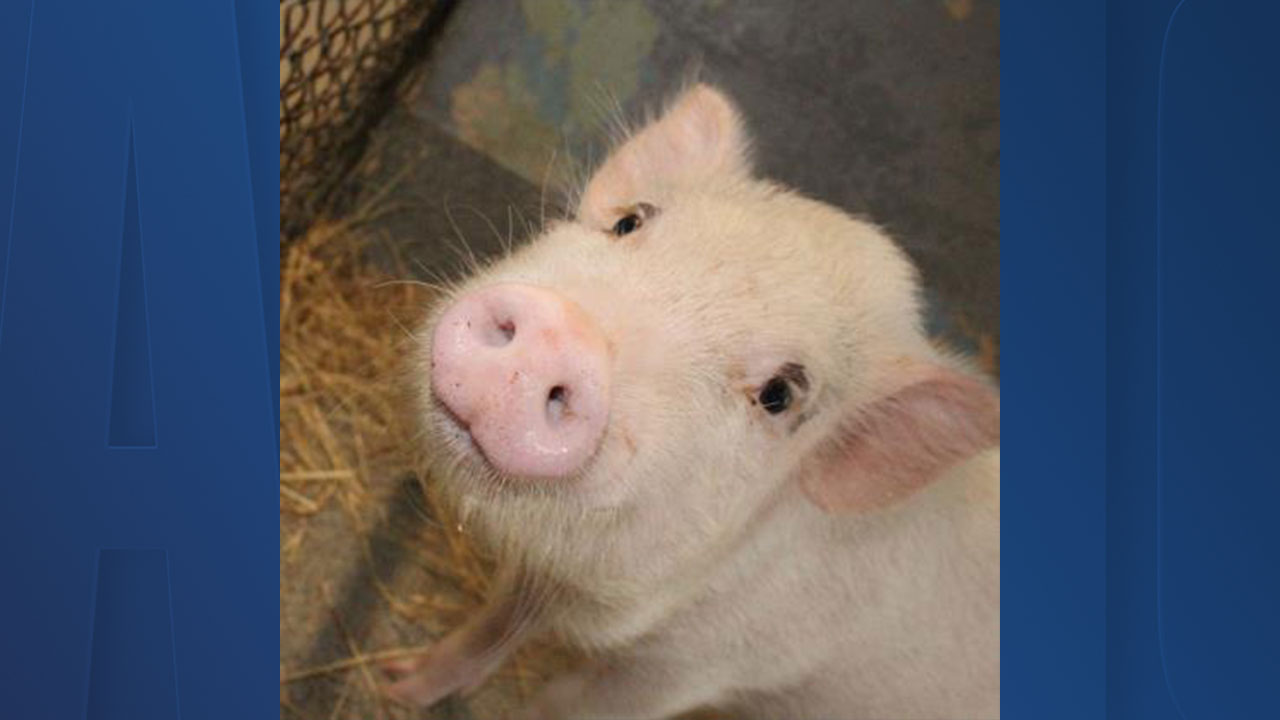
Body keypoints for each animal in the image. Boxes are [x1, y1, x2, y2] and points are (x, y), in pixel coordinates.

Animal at [385, 83, 1000, 719]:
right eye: (628, 222)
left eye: (778, 395)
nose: (560, 335)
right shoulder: (542, 572)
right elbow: (492, 624)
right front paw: (395, 685)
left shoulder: (698, 665)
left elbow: (566, 704)